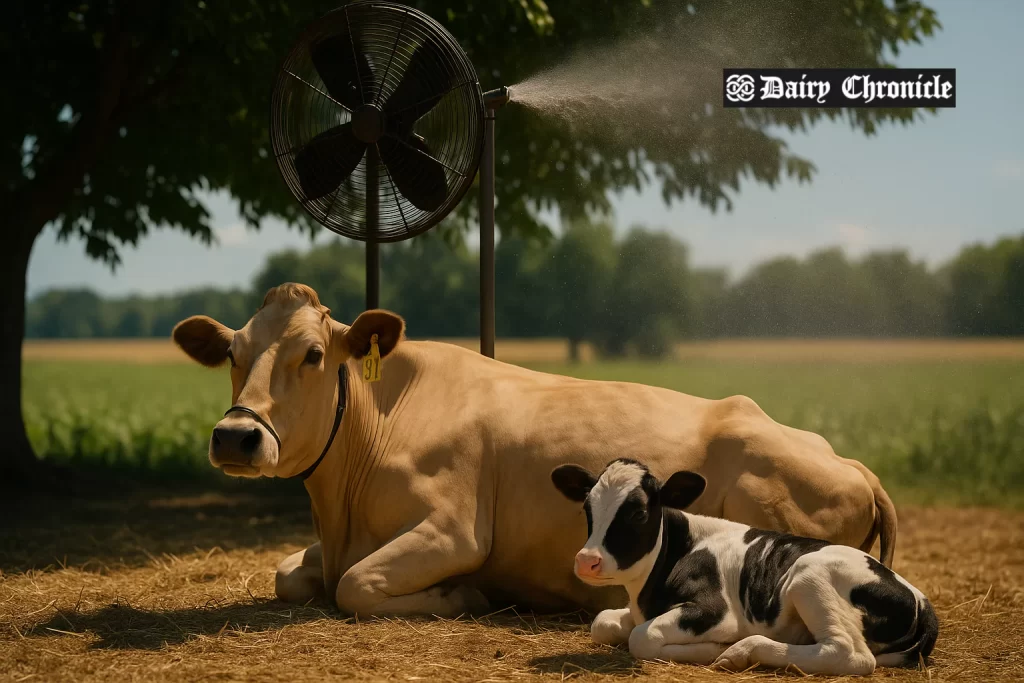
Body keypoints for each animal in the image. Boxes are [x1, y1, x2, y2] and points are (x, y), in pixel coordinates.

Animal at [171, 282, 898, 618]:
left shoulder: (453, 529)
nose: (235, 435)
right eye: (233, 353)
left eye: (314, 354)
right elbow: (291, 573)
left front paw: (462, 594)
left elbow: (355, 583)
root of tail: (850, 461)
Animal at [551, 459, 937, 676]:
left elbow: (642, 638)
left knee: (849, 655)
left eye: (639, 513)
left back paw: (741, 651)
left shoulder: (714, 610)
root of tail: (919, 597)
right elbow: (602, 623)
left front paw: (712, 649)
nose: (587, 561)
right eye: (587, 508)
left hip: (808, 573)